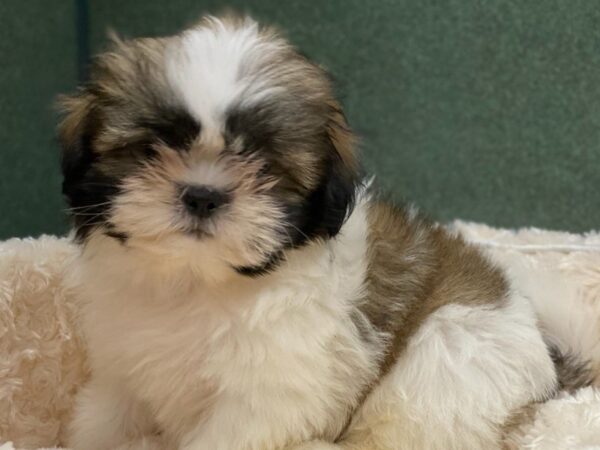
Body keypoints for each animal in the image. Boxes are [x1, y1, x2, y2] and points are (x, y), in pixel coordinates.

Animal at [58, 14, 584, 450]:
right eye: (150, 150)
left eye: (264, 166)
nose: (203, 195)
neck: (196, 281)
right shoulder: (122, 372)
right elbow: (102, 420)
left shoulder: (267, 396)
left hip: (446, 352)